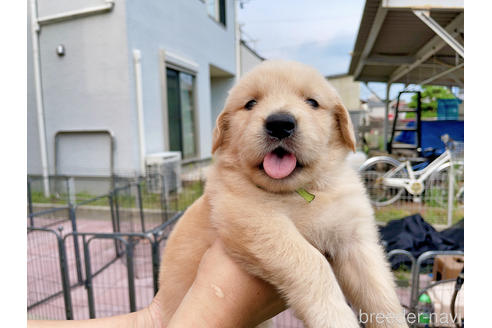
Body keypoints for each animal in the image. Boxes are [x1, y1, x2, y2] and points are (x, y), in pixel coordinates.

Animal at [159, 60, 408, 326]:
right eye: (250, 103)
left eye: (312, 102)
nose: (279, 124)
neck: (300, 191)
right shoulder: (252, 217)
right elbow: (312, 263)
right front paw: (335, 318)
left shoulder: (356, 240)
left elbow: (380, 293)